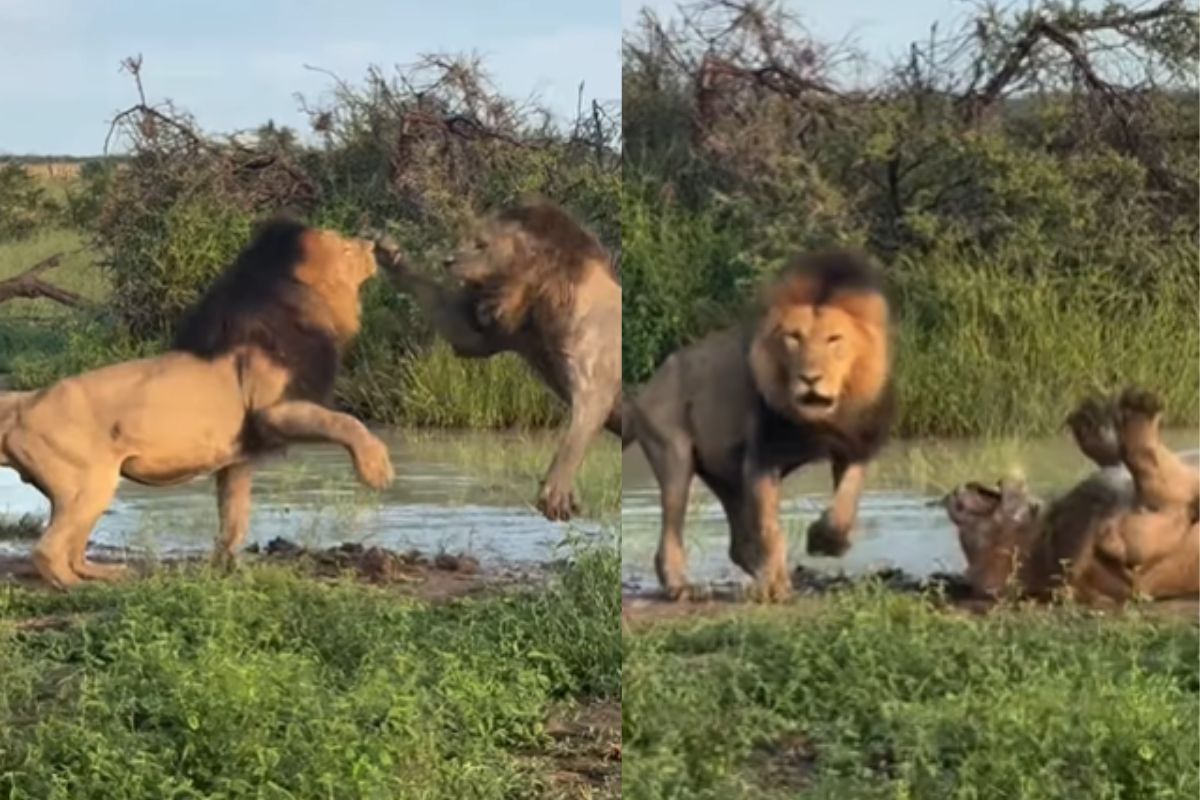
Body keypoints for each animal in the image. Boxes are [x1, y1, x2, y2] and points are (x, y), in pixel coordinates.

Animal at [0, 219, 394, 589]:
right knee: (48, 551)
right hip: (89, 482)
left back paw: (106, 573)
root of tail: (24, 402)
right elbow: (346, 422)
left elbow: (234, 517)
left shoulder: (238, 459)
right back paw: (76, 586)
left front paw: (229, 568)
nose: (372, 243)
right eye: (345, 247)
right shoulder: (273, 412)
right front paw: (377, 470)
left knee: (74, 549)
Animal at [373, 201, 621, 521]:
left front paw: (556, 493)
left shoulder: (595, 368)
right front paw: (388, 252)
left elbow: (580, 424)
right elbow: (462, 330)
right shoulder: (504, 331)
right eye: (471, 239)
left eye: (482, 244)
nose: (448, 260)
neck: (544, 297)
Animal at [622, 250, 895, 601]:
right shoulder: (761, 457)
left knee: (738, 544)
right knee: (673, 527)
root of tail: (645, 390)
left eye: (835, 339)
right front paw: (773, 588)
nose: (810, 378)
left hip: (726, 473)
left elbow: (844, 506)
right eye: (794, 337)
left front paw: (825, 542)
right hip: (674, 453)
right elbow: (769, 527)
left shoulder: (852, 446)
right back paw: (681, 585)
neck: (817, 419)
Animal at [945, 387, 1199, 605]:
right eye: (969, 543)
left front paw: (1091, 424)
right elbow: (1154, 470)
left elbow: (1121, 459)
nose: (951, 497)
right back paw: (1137, 408)